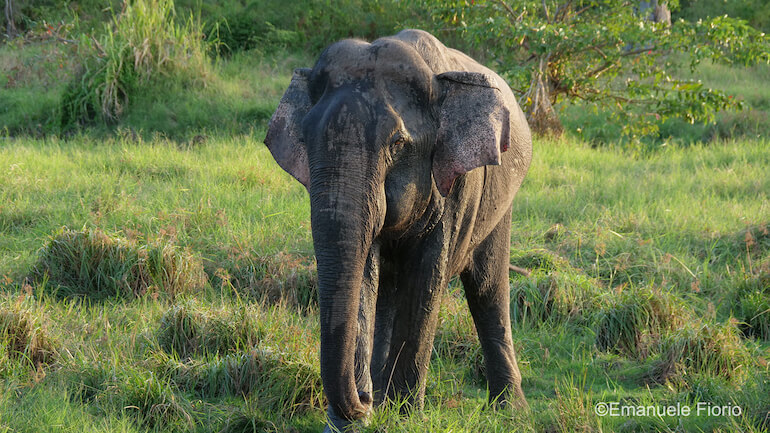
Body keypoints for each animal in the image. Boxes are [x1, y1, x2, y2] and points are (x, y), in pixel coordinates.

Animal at [264, 29, 532, 431]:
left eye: (397, 144)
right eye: (305, 139)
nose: (362, 399)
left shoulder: (456, 187)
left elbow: (425, 280)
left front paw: (405, 417)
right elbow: (365, 276)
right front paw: (352, 423)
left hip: (502, 204)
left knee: (486, 288)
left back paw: (510, 412)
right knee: (389, 289)